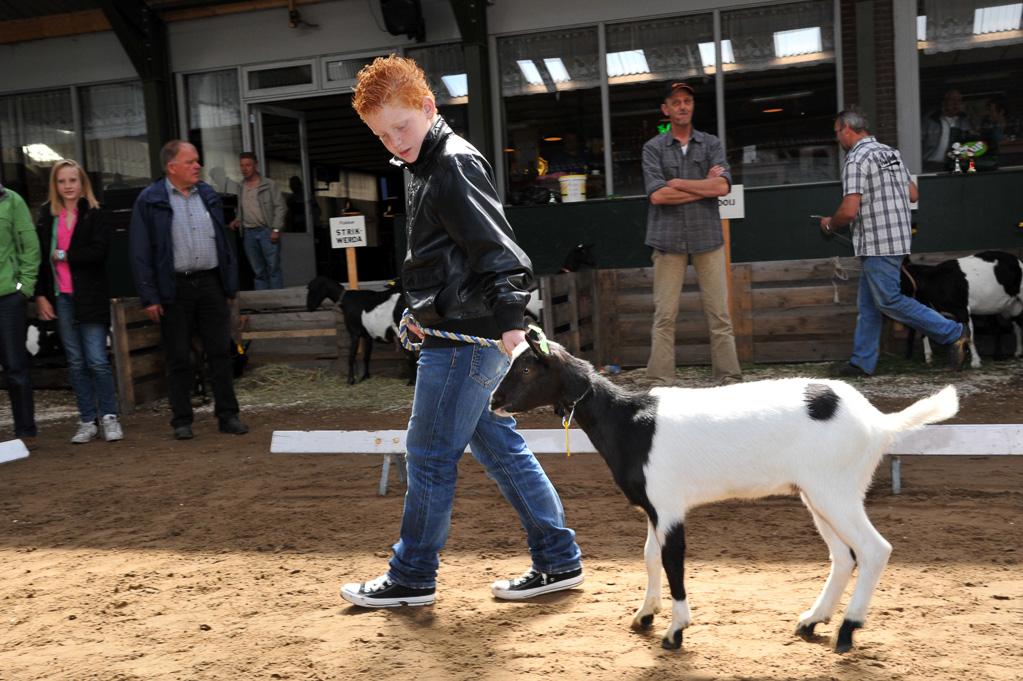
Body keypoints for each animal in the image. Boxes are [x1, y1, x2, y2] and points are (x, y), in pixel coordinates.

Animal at [488, 339, 957, 654]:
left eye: (528, 369)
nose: (494, 400)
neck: (629, 420)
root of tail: (879, 423)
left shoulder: (670, 506)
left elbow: (673, 561)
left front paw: (675, 631)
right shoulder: (654, 506)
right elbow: (650, 556)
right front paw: (645, 614)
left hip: (835, 489)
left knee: (874, 549)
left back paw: (847, 628)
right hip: (819, 493)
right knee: (844, 555)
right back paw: (812, 621)